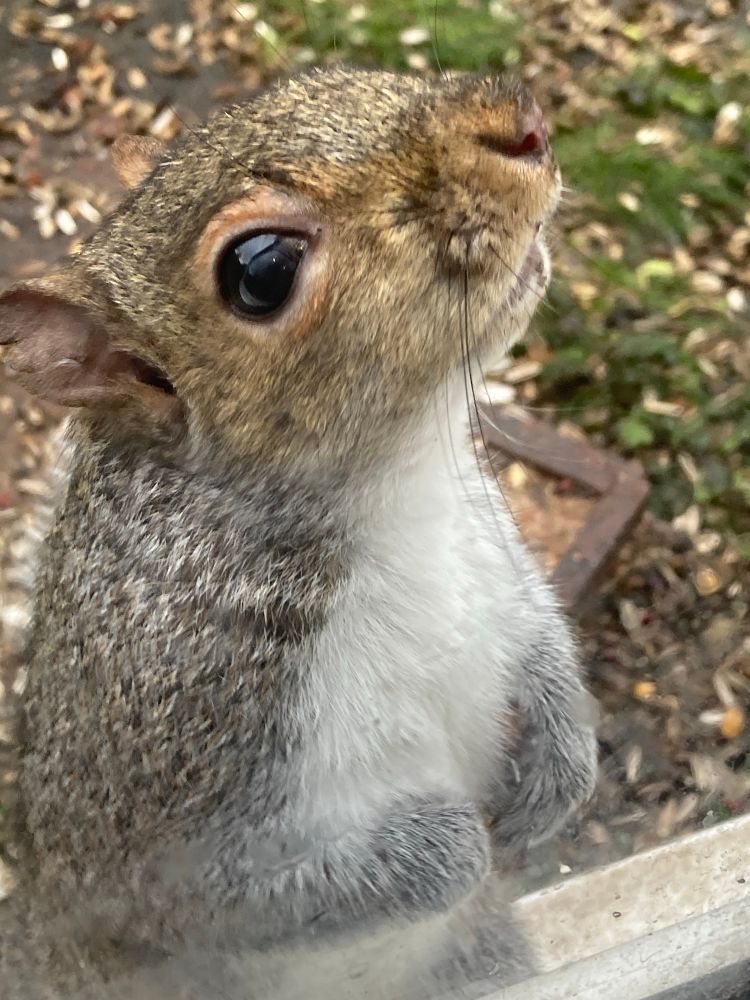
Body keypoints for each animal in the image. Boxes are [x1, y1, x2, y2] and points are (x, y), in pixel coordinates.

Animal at [0, 66, 598, 999]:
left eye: (332, 78)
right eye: (262, 271)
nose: (522, 125)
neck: (395, 494)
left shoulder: (491, 554)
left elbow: (542, 637)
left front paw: (562, 773)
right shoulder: (162, 769)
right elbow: (205, 905)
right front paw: (456, 848)